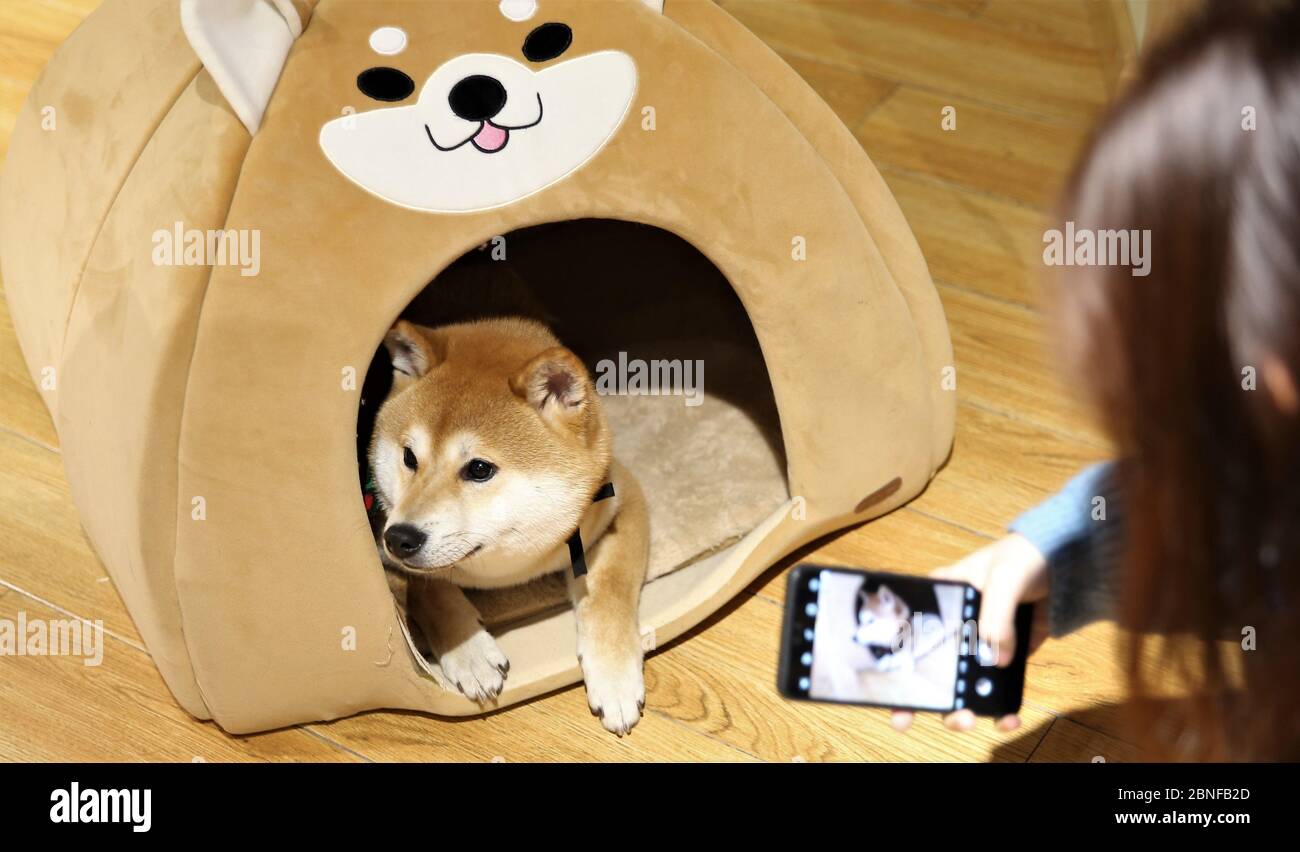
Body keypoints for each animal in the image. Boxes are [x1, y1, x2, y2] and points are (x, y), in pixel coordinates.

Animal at [369, 318, 650, 733]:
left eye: (479, 469)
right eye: (409, 457)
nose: (400, 538)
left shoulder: (624, 499)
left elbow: (610, 591)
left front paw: (614, 676)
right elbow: (429, 588)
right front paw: (468, 651)